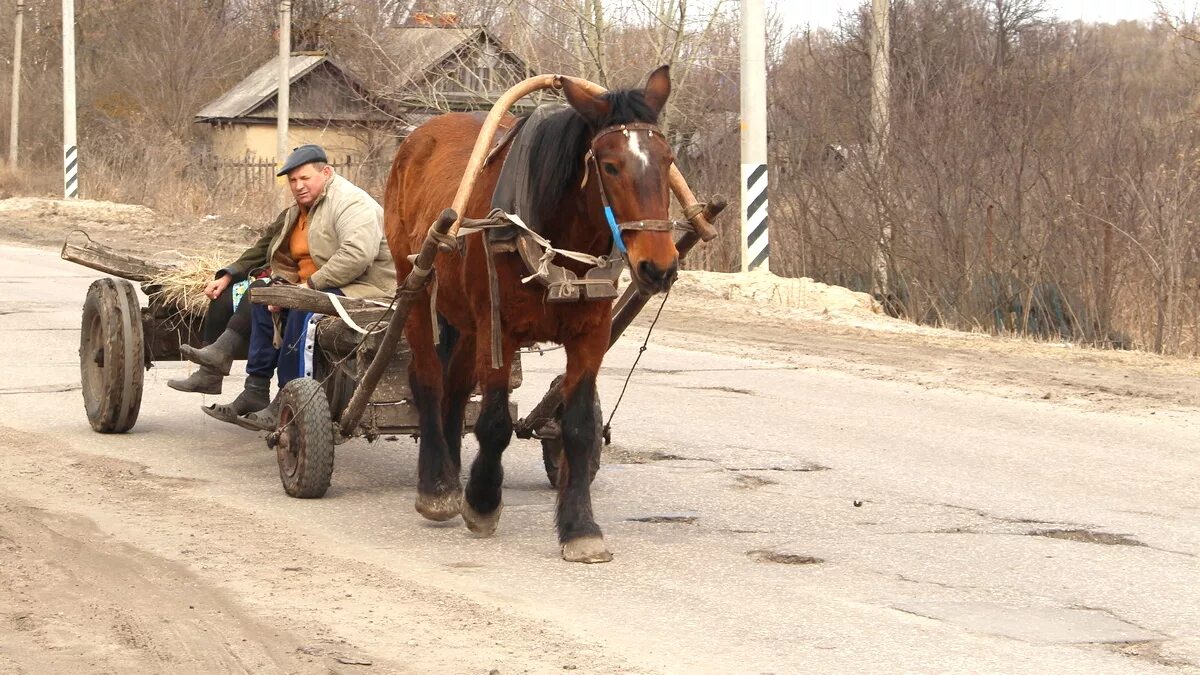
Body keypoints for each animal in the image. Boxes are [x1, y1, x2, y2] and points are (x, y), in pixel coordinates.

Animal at [388, 65, 681, 559]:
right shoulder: (499, 328)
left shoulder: (591, 335)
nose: (657, 267)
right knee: (428, 380)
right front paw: (482, 501)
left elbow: (579, 428)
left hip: (466, 320)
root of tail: (419, 135)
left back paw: (452, 468)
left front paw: (580, 527)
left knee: (455, 388)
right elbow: (494, 423)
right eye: (610, 165)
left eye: (667, 159)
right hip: (416, 284)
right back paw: (438, 485)